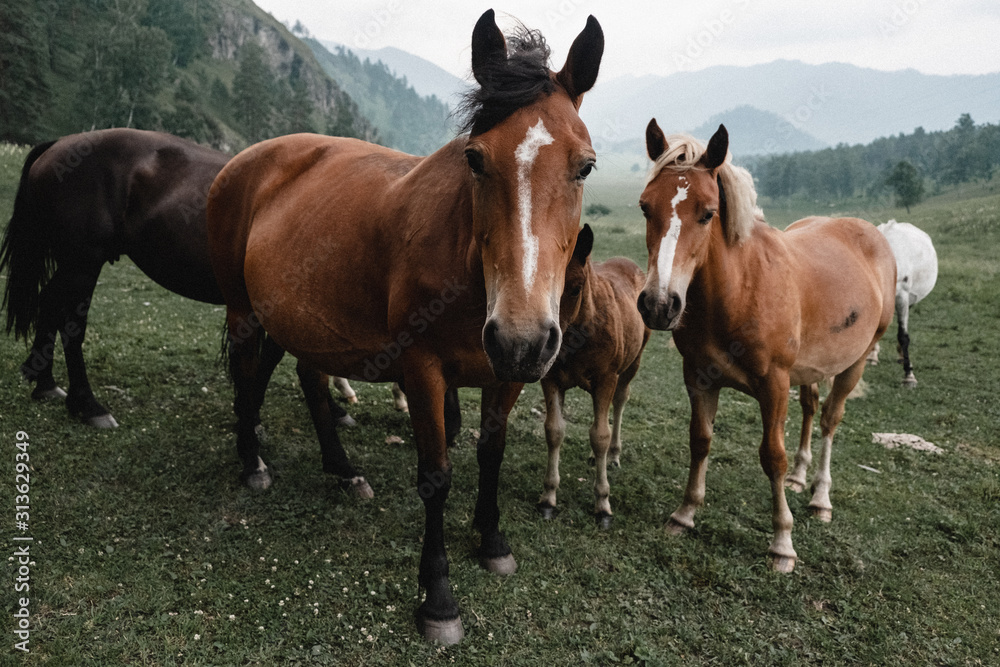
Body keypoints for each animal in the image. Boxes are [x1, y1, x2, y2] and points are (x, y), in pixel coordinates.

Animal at [203, 10, 600, 644]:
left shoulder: (509, 374)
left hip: (296, 317)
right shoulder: (423, 371)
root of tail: (244, 161)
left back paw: (342, 472)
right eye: (476, 158)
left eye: (584, 166)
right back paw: (252, 464)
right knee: (247, 377)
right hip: (245, 314)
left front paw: (492, 540)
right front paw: (437, 598)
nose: (519, 335)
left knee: (304, 381)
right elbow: (435, 474)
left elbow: (491, 452)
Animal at [536, 224, 652, 528]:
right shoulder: (551, 380)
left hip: (632, 364)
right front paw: (548, 498)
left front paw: (602, 504)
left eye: (576, 287)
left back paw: (613, 455)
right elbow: (554, 430)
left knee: (619, 402)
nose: (548, 345)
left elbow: (600, 435)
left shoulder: (606, 379)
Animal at [636, 121, 896, 576]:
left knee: (830, 420)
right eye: (646, 208)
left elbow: (772, 456)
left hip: (855, 363)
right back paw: (800, 478)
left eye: (708, 212)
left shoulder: (774, 386)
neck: (738, 290)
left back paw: (820, 497)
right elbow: (700, 440)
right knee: (811, 408)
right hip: (811, 369)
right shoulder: (699, 378)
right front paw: (684, 514)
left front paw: (782, 544)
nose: (658, 304)